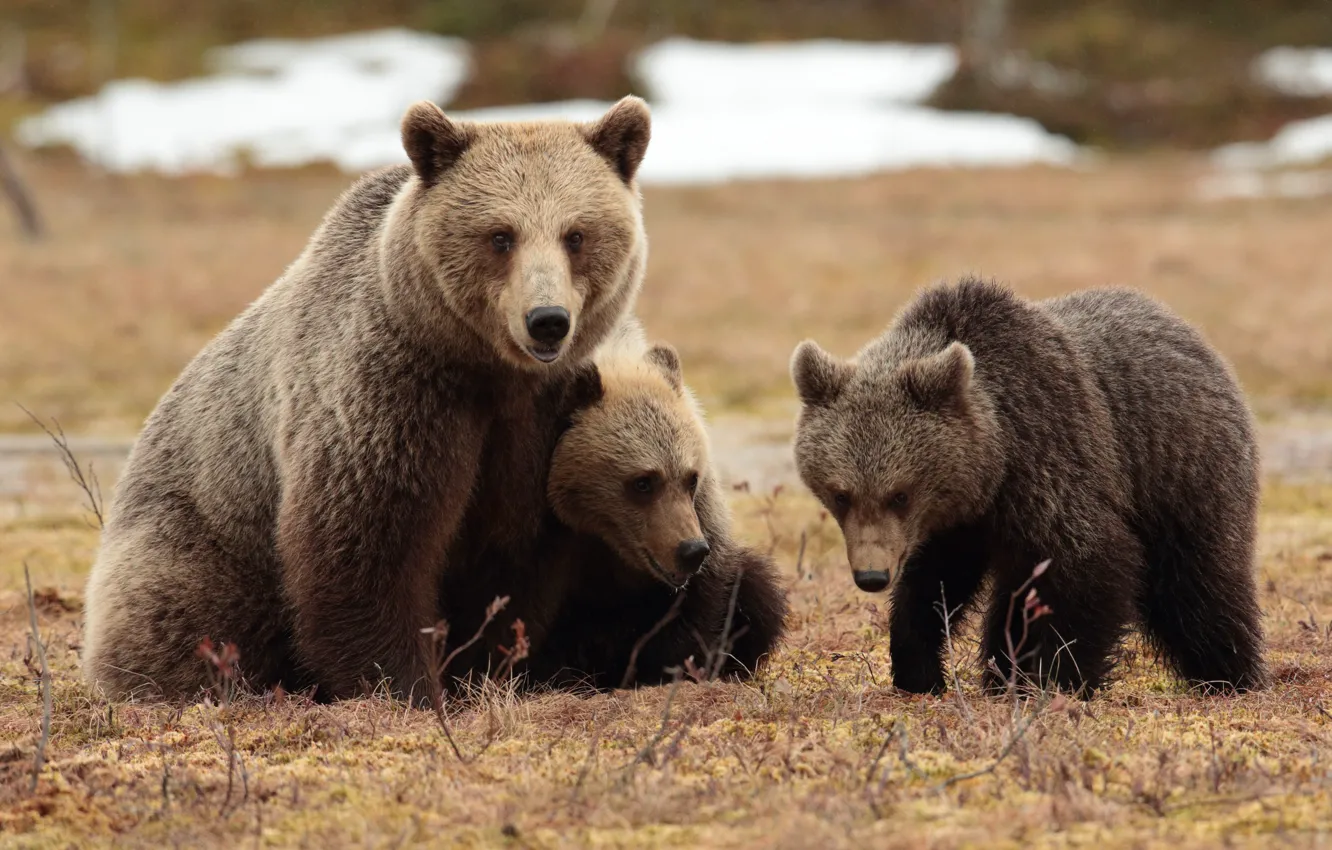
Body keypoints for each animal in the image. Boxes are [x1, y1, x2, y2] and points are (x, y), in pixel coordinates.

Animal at [80, 96, 652, 703]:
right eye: (501, 235)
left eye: (576, 234)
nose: (547, 320)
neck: (484, 372)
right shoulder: (392, 398)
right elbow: (366, 547)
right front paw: (405, 684)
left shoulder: (537, 426)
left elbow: (510, 560)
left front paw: (484, 671)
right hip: (201, 533)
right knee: (188, 612)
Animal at [788, 277, 1268, 698]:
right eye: (841, 494)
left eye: (899, 494)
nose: (871, 576)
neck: (995, 461)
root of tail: (1191, 334)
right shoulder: (959, 520)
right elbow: (934, 583)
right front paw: (919, 670)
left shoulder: (1051, 460)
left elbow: (1089, 565)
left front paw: (1057, 678)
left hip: (1180, 471)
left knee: (1198, 583)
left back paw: (1228, 673)